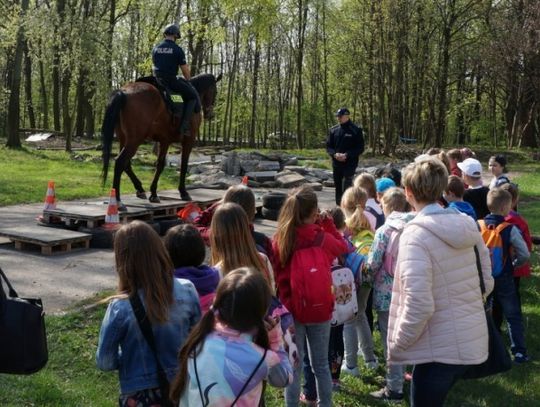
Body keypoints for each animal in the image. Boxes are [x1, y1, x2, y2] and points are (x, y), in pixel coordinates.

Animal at [100, 73, 220, 210]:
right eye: (215, 91)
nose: (210, 114)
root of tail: (124, 92)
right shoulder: (188, 140)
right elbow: (183, 165)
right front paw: (183, 192)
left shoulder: (164, 141)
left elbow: (160, 164)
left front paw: (153, 193)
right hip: (135, 140)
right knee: (120, 162)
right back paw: (118, 201)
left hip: (124, 139)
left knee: (126, 164)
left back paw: (139, 189)